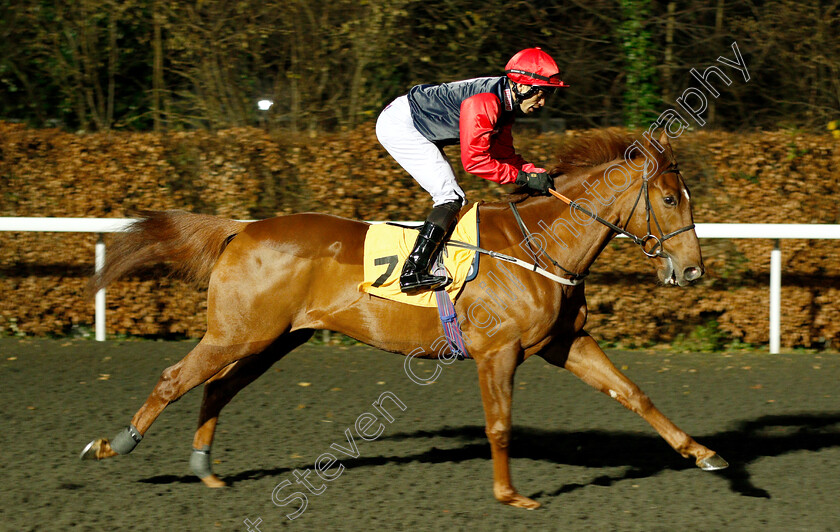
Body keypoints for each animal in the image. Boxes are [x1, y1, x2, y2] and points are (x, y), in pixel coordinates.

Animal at [83, 131, 728, 510]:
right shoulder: (498, 352)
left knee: (218, 388)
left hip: (274, 338)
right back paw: (114, 444)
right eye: (670, 199)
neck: (542, 244)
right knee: (176, 378)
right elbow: (499, 426)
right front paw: (509, 494)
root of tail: (240, 229)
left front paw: (703, 454)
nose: (692, 269)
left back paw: (205, 468)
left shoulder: (565, 341)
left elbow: (633, 394)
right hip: (238, 332)